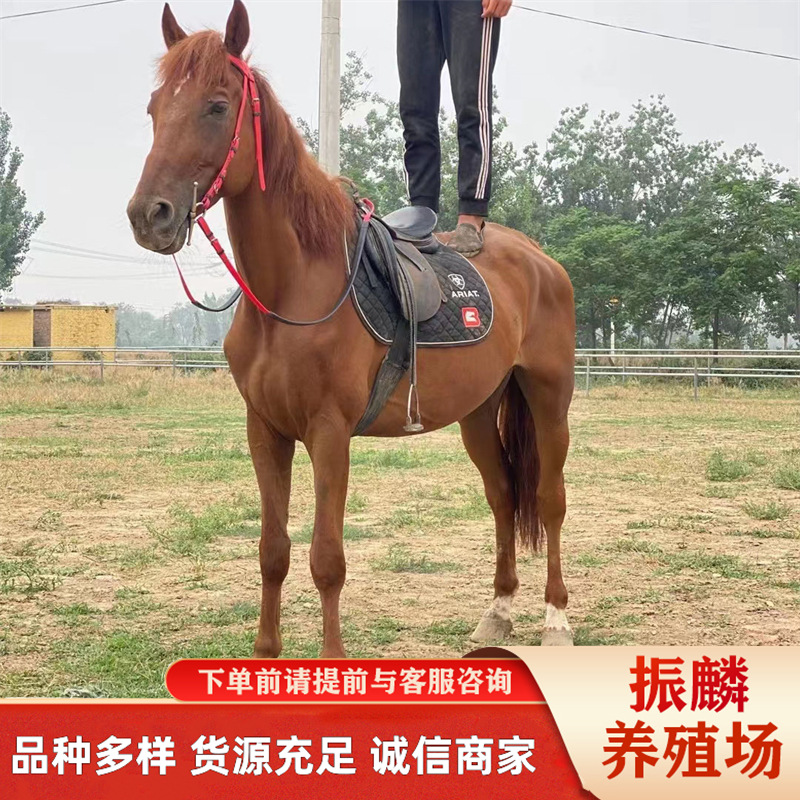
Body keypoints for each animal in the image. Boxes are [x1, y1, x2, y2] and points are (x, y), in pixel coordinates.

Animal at [127, 0, 576, 657]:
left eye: (216, 105)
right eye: (155, 108)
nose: (149, 215)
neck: (292, 291)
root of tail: (540, 259)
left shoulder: (329, 434)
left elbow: (327, 559)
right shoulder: (265, 432)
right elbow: (273, 552)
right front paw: (266, 654)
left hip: (549, 397)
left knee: (548, 500)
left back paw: (555, 620)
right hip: (478, 409)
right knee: (500, 497)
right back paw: (496, 615)